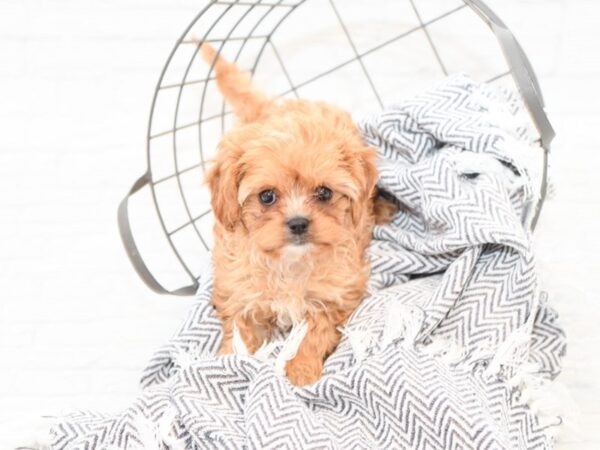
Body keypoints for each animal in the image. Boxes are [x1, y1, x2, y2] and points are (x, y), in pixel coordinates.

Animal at [200, 44, 380, 384]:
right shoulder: (241, 295)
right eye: (267, 196)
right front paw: (230, 361)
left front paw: (300, 371)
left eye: (324, 192)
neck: (288, 263)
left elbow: (313, 332)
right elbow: (241, 335)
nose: (298, 223)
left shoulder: (334, 295)